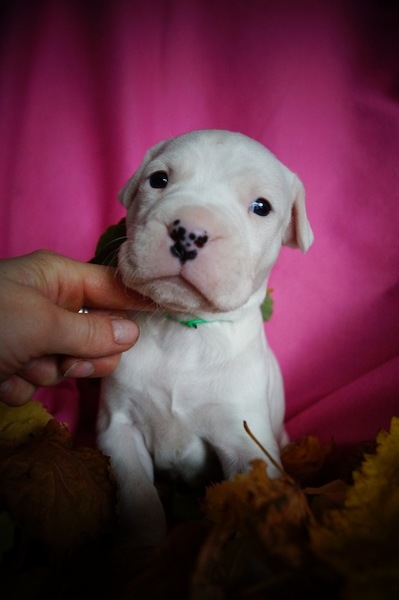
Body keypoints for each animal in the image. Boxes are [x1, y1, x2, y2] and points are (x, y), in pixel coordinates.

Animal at [96, 129, 312, 548]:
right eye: (158, 180)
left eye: (261, 207)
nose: (190, 232)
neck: (184, 329)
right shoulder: (119, 428)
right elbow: (138, 494)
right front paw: (143, 549)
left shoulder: (247, 443)